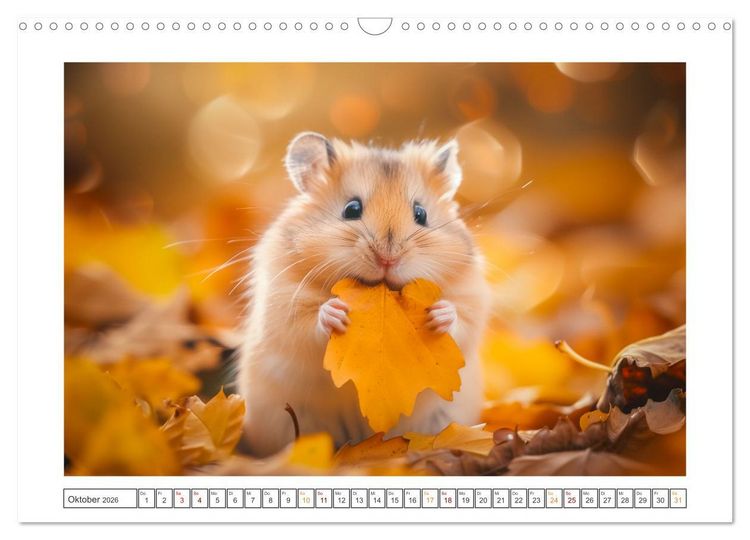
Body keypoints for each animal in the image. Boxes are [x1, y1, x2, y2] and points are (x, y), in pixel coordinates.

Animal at [237, 132, 491, 457]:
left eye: (421, 214)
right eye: (351, 209)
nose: (387, 258)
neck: (380, 289)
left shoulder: (472, 295)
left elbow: (463, 318)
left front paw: (439, 314)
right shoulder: (281, 301)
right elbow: (305, 324)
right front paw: (334, 312)